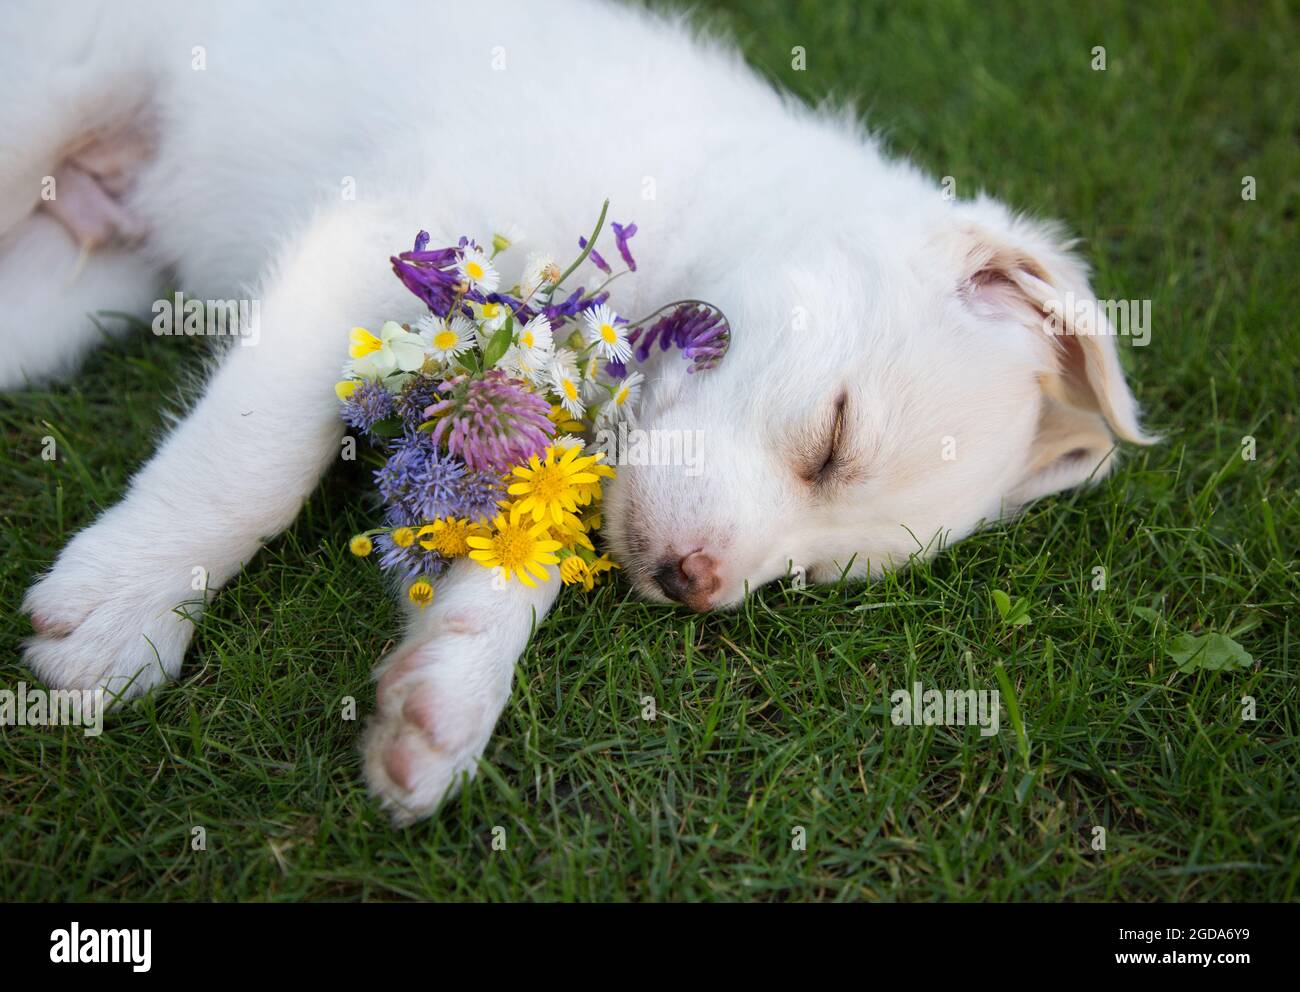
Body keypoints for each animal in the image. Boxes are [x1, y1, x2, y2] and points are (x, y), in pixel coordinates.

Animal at [5, 0, 1154, 821]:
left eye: (821, 574)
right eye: (831, 439)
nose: (697, 587)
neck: (688, 195)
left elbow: (536, 538)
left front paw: (449, 688)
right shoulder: (383, 245)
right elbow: (256, 458)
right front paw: (124, 610)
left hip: (61, 291)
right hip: (50, 108)